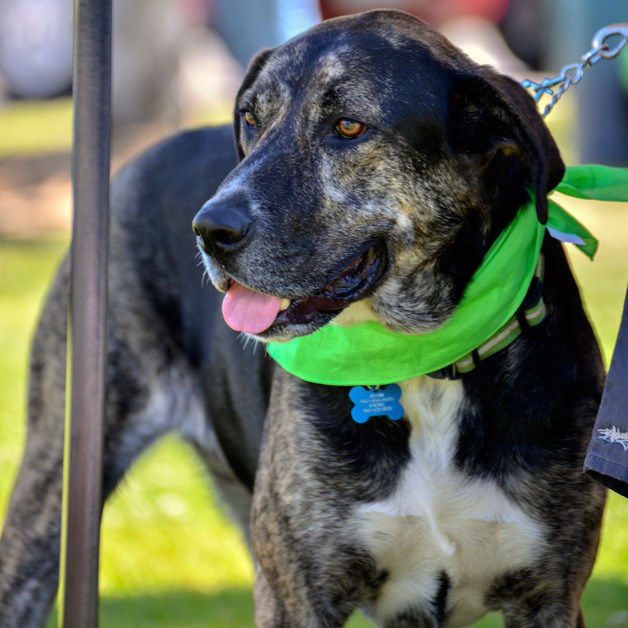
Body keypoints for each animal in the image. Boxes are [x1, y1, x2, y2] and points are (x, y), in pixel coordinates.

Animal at [1, 9, 608, 628]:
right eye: (250, 118)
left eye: (348, 126)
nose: (209, 230)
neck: (427, 362)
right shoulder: (297, 592)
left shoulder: (551, 597)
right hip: (60, 471)